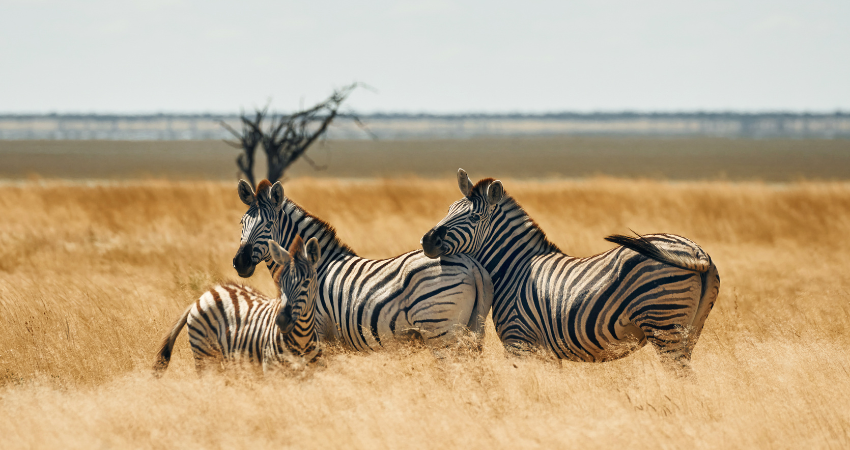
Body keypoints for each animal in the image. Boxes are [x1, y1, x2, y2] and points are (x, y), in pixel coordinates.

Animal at [153, 236, 322, 375]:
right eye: (279, 283)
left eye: (306, 282)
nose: (281, 321)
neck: (302, 339)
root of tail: (206, 293)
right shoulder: (272, 371)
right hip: (205, 355)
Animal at [231, 179, 494, 351]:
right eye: (242, 222)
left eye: (269, 225)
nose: (240, 262)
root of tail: (471, 264)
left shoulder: (318, 330)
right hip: (471, 329)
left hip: (440, 331)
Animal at [420, 169, 720, 369]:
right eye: (449, 208)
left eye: (473, 217)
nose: (427, 240)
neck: (514, 269)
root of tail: (697, 252)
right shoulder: (545, 352)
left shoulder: (519, 342)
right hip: (691, 330)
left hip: (664, 324)